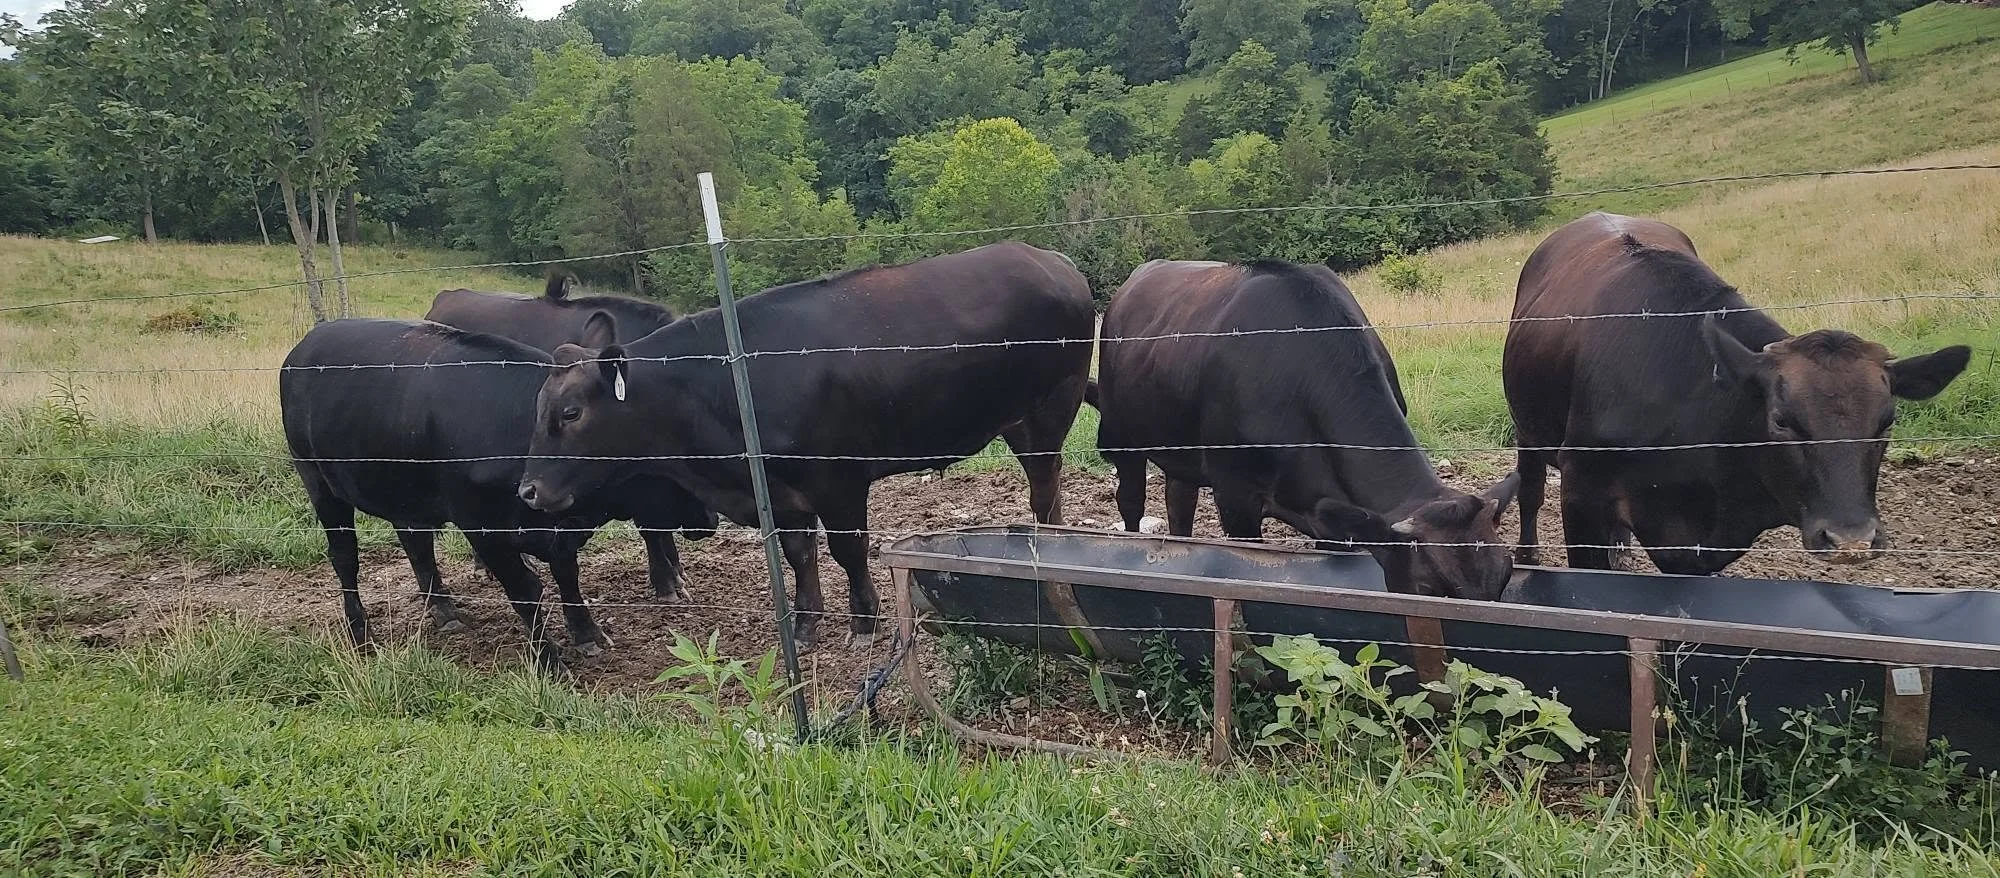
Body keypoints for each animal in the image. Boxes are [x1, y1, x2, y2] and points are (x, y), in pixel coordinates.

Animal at [281, 314, 717, 673]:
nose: (711, 519)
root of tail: (308, 342)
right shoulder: (483, 528)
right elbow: (526, 590)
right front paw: (550, 663)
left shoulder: (556, 532)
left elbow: (568, 576)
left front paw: (586, 634)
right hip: (320, 484)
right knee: (345, 559)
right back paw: (361, 635)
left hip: (406, 495)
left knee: (417, 546)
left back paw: (444, 610)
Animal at [514, 242, 1097, 651]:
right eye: (538, 408)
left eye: (571, 413)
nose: (528, 491)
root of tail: (1051, 259)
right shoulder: (781, 491)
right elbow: (799, 554)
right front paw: (805, 623)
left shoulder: (838, 480)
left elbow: (848, 549)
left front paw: (864, 620)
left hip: (1050, 410)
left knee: (1045, 491)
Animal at [1093, 259, 1522, 601]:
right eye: (1429, 587)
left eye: (1505, 574)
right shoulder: (1235, 496)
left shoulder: (1336, 519)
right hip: (1120, 435)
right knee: (1130, 500)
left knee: (1179, 502)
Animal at [1503, 212, 1970, 575]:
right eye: (1780, 420)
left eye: (1887, 421)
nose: (1850, 539)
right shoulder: (1581, 493)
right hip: (1528, 431)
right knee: (1530, 489)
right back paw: (1528, 555)